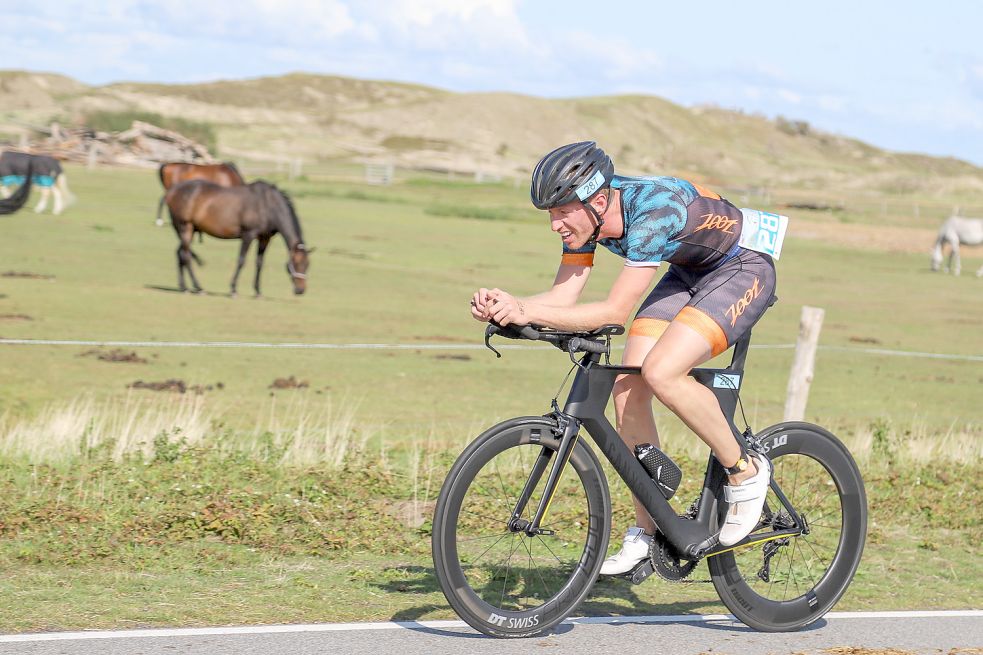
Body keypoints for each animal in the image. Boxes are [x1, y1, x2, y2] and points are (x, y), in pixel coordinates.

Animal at [163, 179, 314, 294]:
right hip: (185, 228)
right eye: (295, 263)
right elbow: (241, 260)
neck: (267, 205)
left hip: (190, 230)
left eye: (307, 265)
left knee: (180, 253)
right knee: (186, 256)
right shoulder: (248, 235)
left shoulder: (264, 238)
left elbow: (259, 263)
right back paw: (198, 287)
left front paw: (257, 291)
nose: (300, 290)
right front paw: (233, 289)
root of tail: (172, 191)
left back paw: (184, 287)